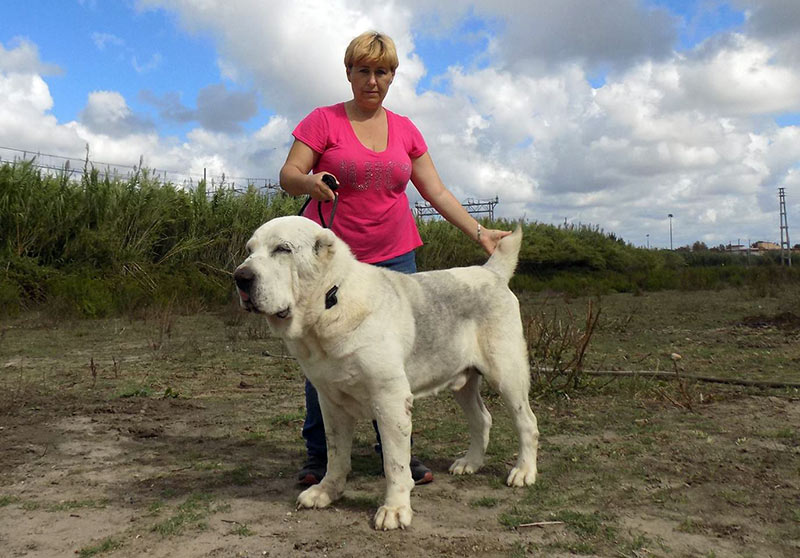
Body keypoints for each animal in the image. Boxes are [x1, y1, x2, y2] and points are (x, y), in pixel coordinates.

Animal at [236, 217, 536, 532]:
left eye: (282, 249)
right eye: (250, 250)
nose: (240, 277)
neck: (332, 300)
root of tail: (490, 272)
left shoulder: (389, 399)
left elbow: (394, 463)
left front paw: (394, 509)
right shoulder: (330, 402)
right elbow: (335, 454)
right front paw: (326, 491)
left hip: (507, 373)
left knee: (526, 422)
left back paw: (523, 471)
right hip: (462, 382)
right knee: (482, 419)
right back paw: (470, 463)